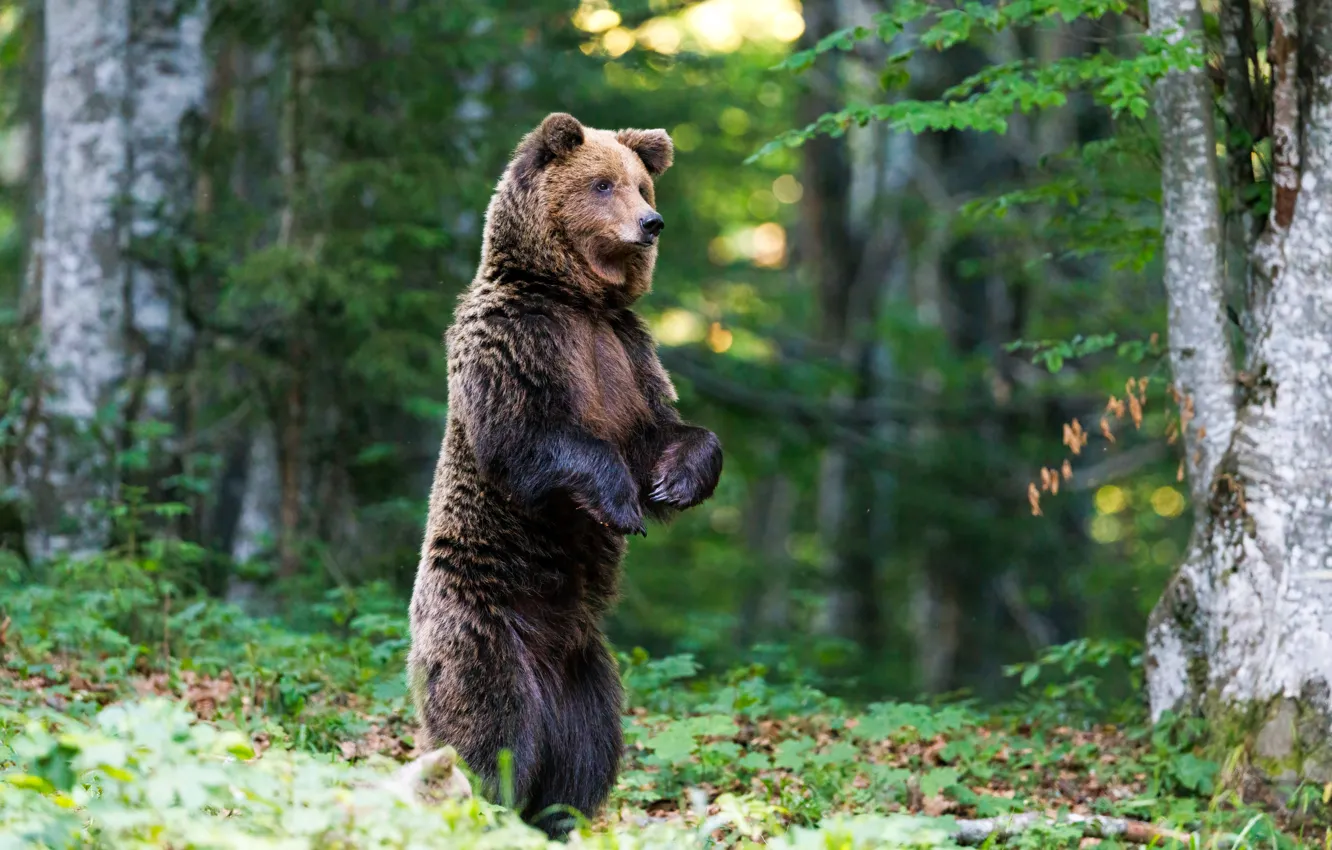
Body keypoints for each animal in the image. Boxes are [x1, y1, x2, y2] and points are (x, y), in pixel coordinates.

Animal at [407, 112, 723, 837]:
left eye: (641, 184)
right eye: (602, 183)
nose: (651, 223)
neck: (573, 296)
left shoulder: (625, 352)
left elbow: (668, 431)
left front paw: (673, 482)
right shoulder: (517, 340)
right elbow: (528, 439)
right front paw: (623, 503)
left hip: (586, 669)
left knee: (588, 747)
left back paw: (558, 814)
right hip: (482, 630)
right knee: (489, 732)